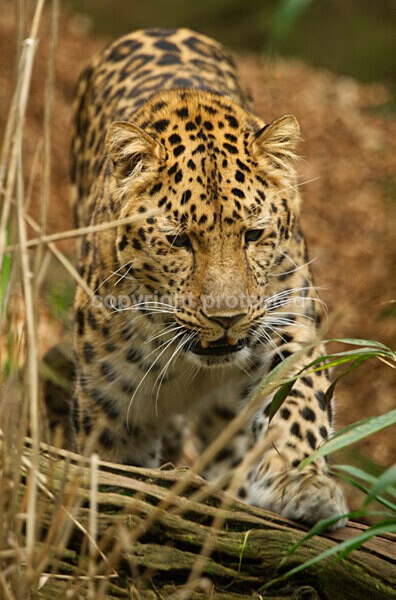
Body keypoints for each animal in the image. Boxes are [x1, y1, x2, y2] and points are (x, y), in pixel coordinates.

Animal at [70, 28, 346, 528]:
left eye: (253, 234)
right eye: (179, 241)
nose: (226, 319)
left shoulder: (287, 316)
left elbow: (297, 397)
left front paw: (303, 482)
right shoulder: (110, 405)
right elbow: (113, 468)